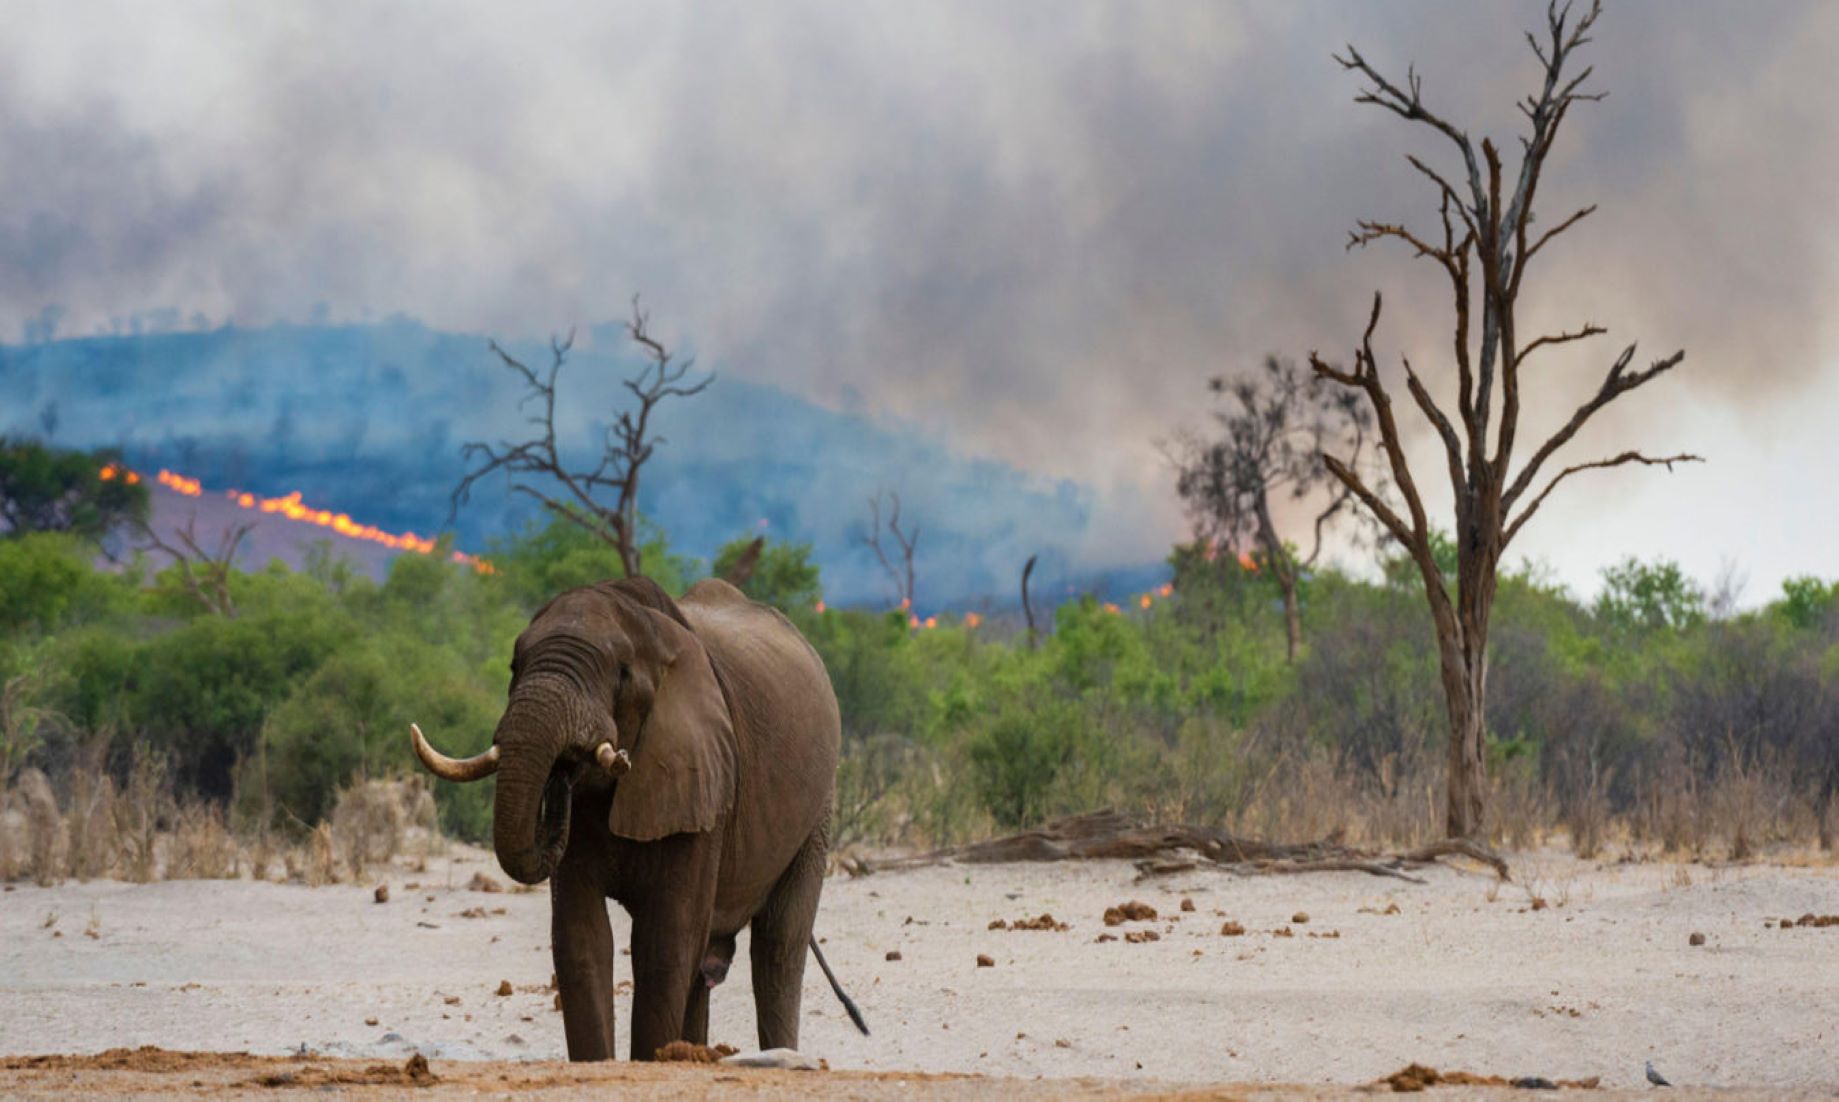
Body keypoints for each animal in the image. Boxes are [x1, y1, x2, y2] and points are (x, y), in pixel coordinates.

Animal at [408, 577, 860, 1059]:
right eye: (515, 665)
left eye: (621, 673)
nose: (564, 769)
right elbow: (581, 936)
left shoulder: (705, 779)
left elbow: (664, 941)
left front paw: (651, 1058)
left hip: (818, 810)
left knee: (778, 946)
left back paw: (775, 1053)